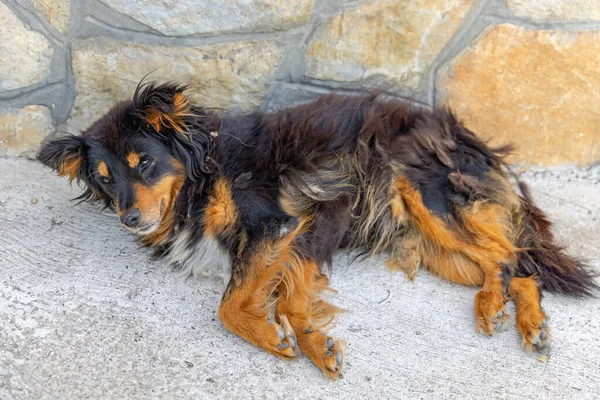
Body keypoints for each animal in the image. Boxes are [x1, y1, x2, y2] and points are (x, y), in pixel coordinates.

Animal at [37, 81, 596, 378]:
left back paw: (500, 312)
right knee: (517, 267)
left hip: (425, 193)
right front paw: (312, 342)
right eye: (105, 180)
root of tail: (466, 135)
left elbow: (230, 306)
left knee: (508, 256)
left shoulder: (275, 221)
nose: (128, 218)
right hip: (433, 247)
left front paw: (274, 337)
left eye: (146, 162)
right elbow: (291, 298)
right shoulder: (300, 236)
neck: (203, 173)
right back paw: (524, 321)